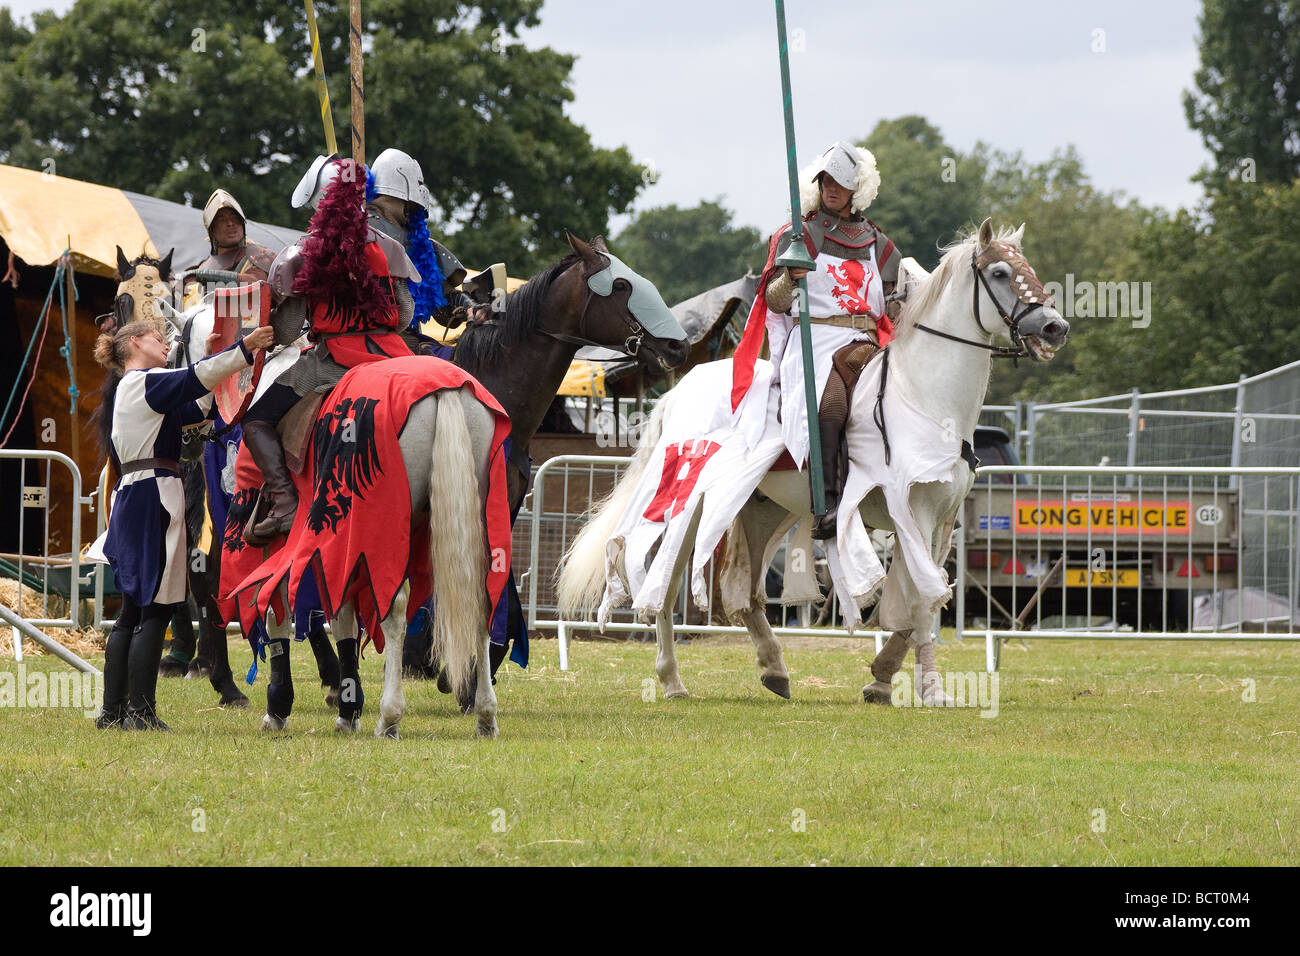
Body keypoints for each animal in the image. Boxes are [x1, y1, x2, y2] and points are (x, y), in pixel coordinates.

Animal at [558, 220, 1069, 705]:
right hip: (693, 504)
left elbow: (924, 595)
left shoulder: (942, 521)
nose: (1054, 328)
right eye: (999, 273)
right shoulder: (914, 511)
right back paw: (672, 681)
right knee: (664, 581)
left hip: (760, 507)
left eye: (1028, 268)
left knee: (745, 593)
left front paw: (881, 679)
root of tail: (682, 390)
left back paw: (773, 668)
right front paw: (932, 690)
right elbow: (923, 597)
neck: (923, 397)